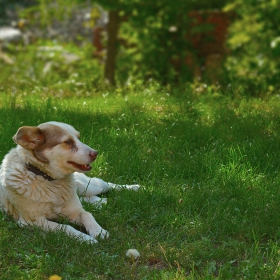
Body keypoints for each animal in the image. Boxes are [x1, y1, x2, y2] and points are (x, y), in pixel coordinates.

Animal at [0, 121, 139, 242]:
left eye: (78, 137)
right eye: (67, 142)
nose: (96, 153)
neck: (50, 180)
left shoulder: (74, 212)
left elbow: (87, 214)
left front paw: (99, 231)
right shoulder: (32, 221)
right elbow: (65, 227)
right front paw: (86, 239)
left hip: (89, 186)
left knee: (107, 185)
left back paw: (137, 188)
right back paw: (100, 202)